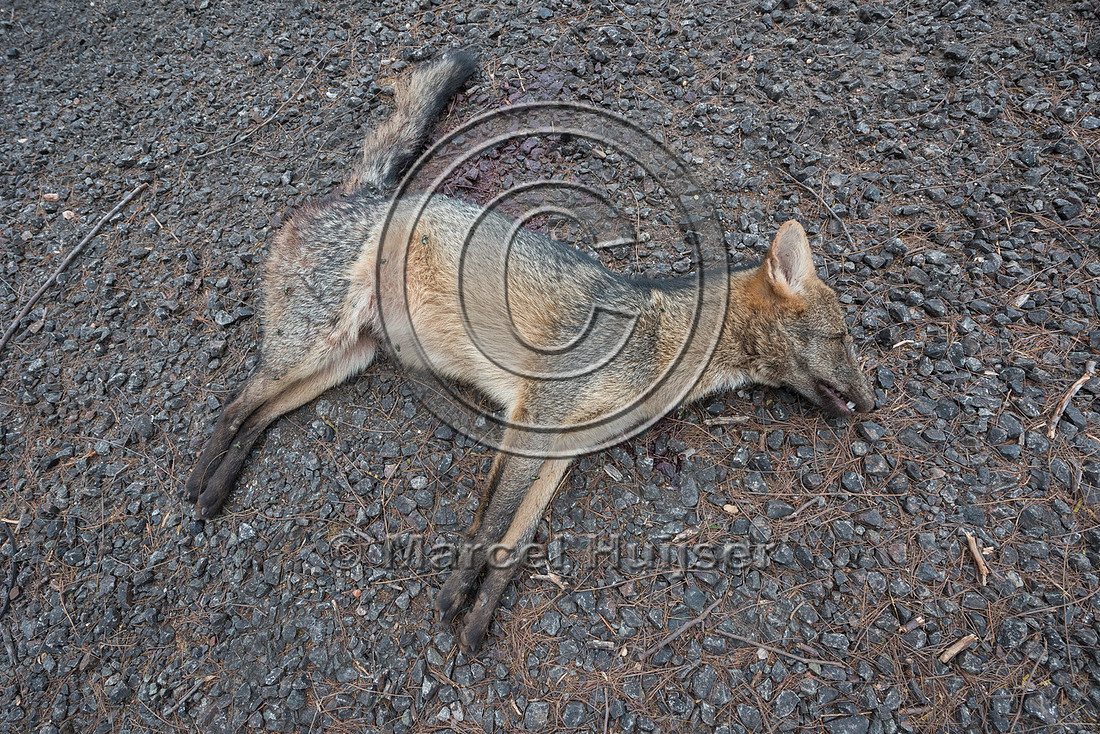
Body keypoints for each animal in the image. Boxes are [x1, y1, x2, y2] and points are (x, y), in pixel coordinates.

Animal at [185, 50, 875, 652]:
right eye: (842, 339)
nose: (872, 402)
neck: (660, 337)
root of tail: (365, 193)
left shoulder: (565, 446)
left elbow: (514, 544)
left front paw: (478, 618)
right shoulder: (533, 418)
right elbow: (490, 522)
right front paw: (452, 597)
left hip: (340, 362)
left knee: (260, 416)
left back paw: (219, 487)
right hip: (309, 349)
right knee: (235, 404)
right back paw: (197, 486)